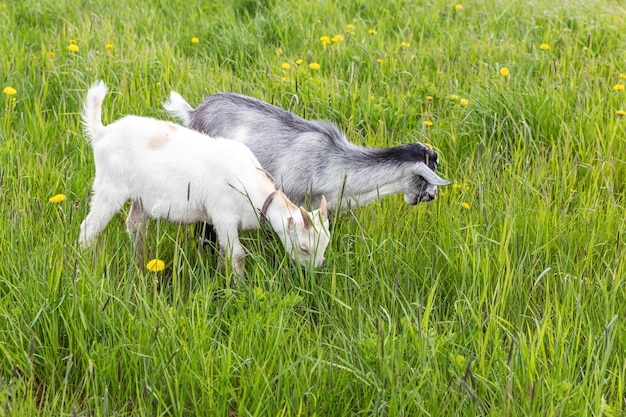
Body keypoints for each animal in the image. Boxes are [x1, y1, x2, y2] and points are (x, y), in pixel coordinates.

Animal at [80, 82, 330, 276]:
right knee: (89, 226)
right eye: (305, 248)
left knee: (134, 224)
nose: (314, 271)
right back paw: (86, 262)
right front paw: (239, 286)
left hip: (139, 195)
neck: (251, 189)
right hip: (110, 187)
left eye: (325, 244)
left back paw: (141, 259)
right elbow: (237, 254)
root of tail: (102, 132)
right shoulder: (223, 215)